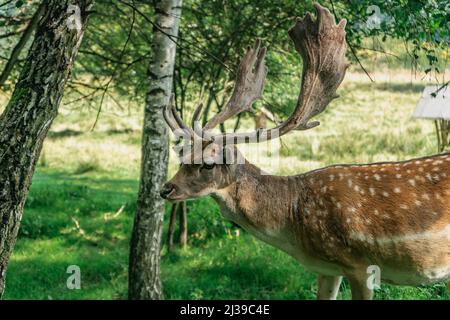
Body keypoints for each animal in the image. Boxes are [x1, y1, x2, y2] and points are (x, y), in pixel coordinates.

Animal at [160, 3, 448, 300]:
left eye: (207, 163)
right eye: (182, 158)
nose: (165, 189)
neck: (295, 227)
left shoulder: (360, 264)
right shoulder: (328, 269)